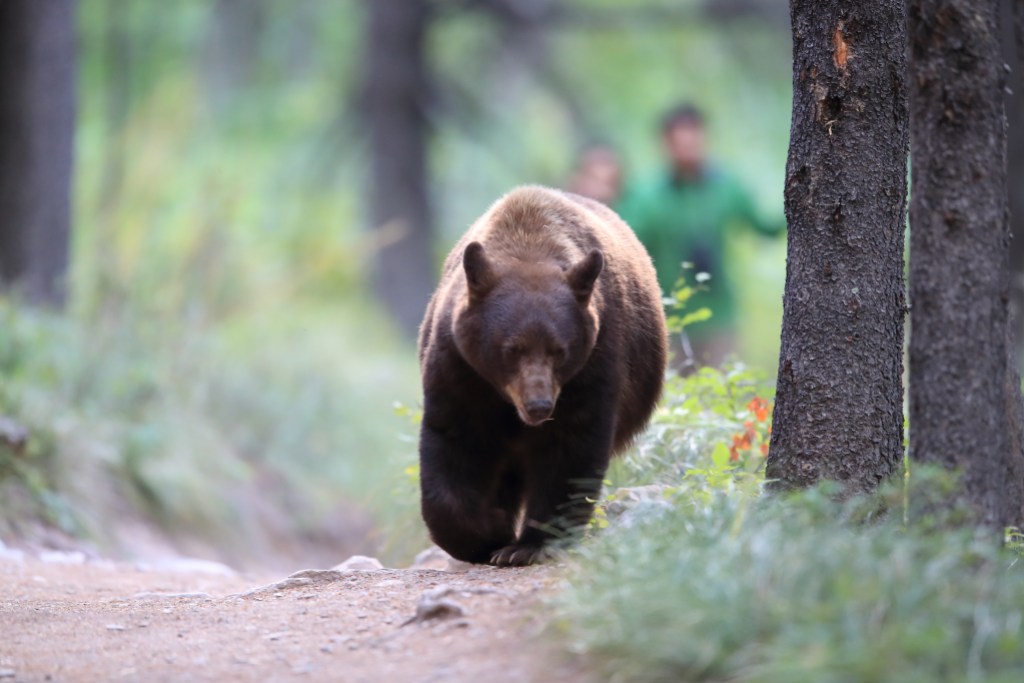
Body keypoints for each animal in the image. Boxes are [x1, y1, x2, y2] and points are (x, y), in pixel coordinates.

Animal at [415, 184, 663, 565]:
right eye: (511, 349)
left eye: (559, 350)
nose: (539, 405)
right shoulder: (460, 366)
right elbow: (454, 439)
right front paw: (487, 532)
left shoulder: (595, 359)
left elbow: (570, 449)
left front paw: (526, 546)